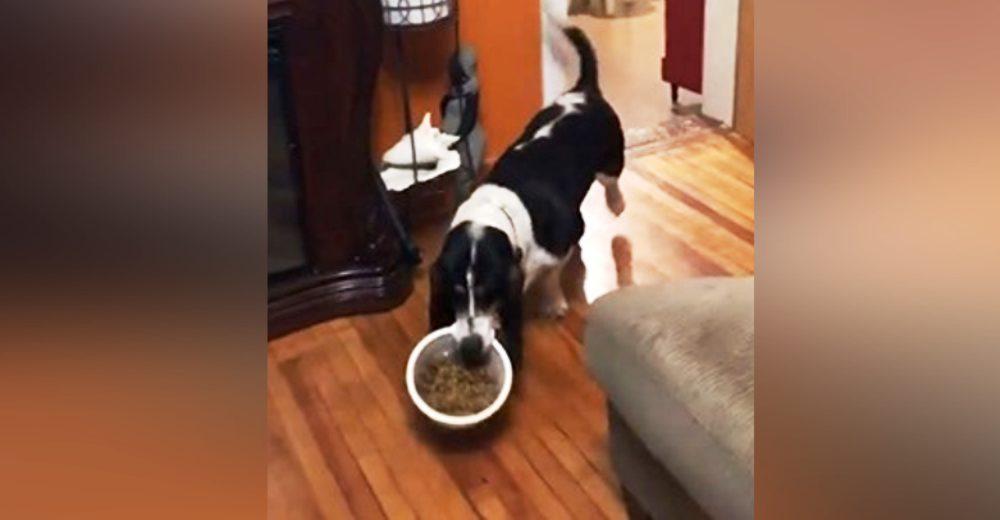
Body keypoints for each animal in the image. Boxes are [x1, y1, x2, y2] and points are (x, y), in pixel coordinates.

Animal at [428, 26, 624, 368]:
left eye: (489, 291)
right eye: (454, 292)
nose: (470, 349)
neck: (496, 212)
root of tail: (583, 91)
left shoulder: (556, 251)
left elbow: (551, 277)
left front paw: (554, 303)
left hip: (610, 162)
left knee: (611, 183)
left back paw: (617, 205)